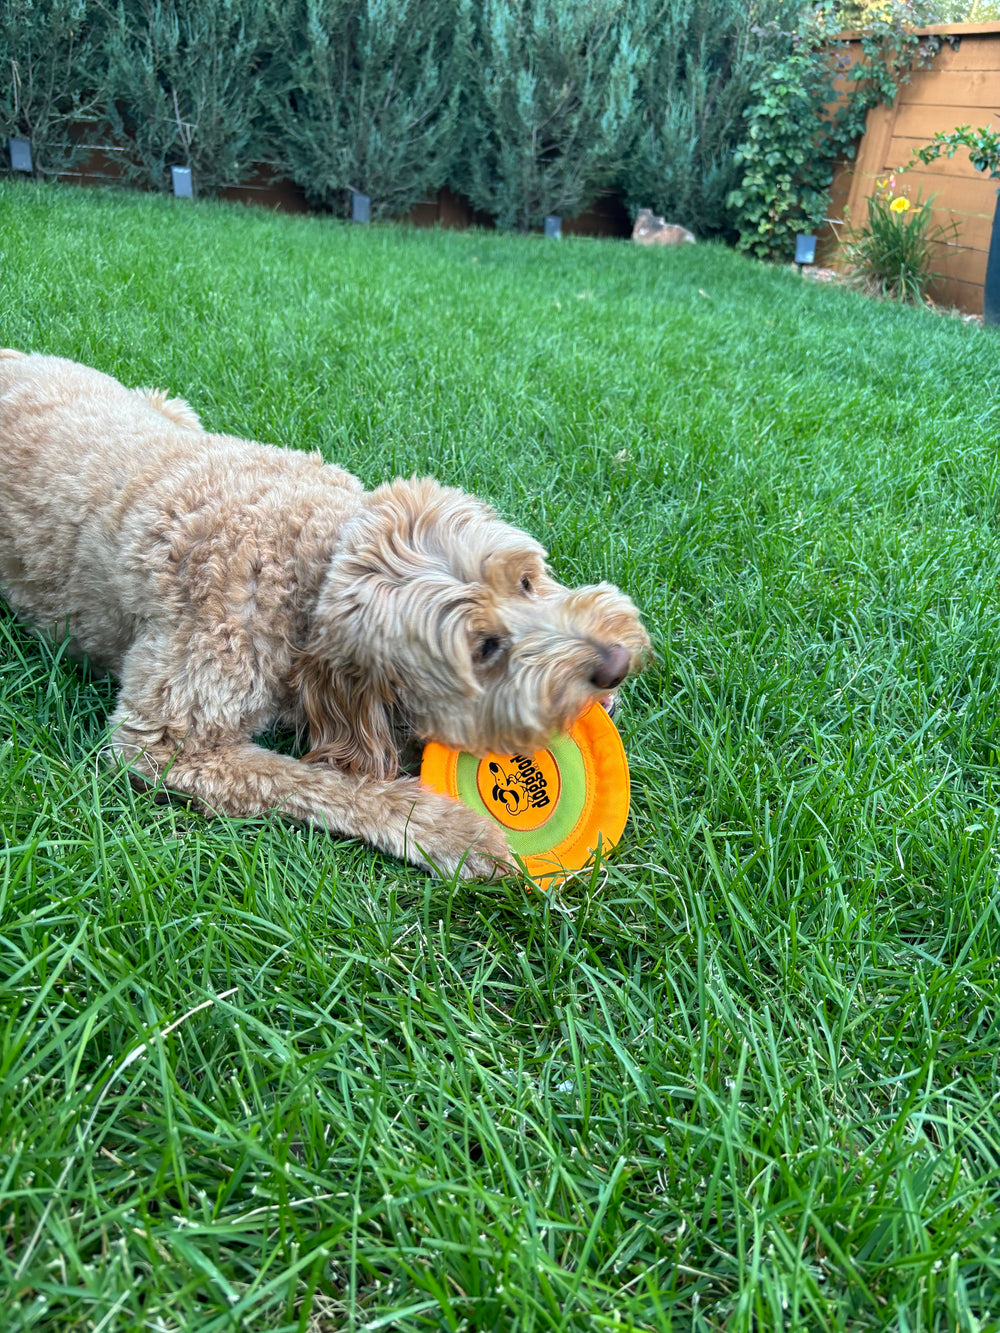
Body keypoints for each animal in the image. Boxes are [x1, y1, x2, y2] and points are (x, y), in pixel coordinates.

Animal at [0, 349, 650, 879]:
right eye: (484, 649)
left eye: (527, 578)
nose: (615, 664)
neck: (311, 555)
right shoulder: (164, 742)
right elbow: (326, 783)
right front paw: (453, 831)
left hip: (170, 406)